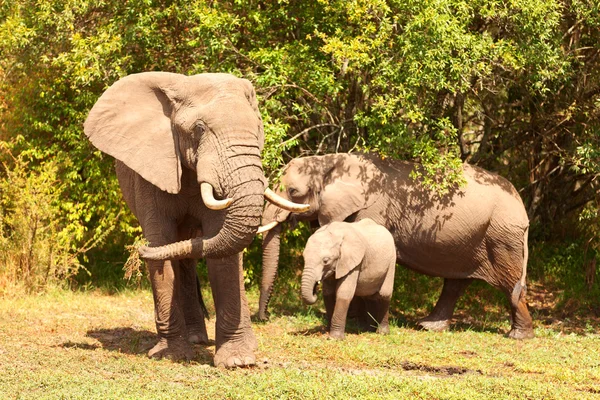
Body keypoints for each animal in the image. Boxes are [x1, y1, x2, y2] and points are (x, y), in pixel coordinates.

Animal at [83, 72, 310, 368]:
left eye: (258, 129)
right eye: (200, 129)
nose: (138, 250)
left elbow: (223, 257)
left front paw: (237, 361)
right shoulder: (151, 171)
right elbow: (162, 242)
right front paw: (171, 355)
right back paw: (192, 340)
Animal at [258, 152, 536, 340]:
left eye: (293, 191)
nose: (265, 318)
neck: (329, 162)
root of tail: (522, 208)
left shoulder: (373, 208)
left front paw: (359, 324)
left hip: (502, 236)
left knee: (508, 282)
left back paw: (518, 336)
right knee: (456, 281)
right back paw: (428, 326)